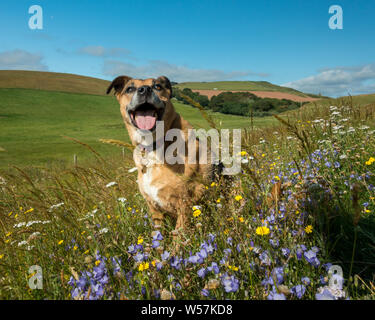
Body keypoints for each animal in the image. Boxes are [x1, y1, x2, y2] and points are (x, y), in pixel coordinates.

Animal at [106, 76, 220, 234]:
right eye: (130, 88)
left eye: (158, 86)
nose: (145, 90)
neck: (153, 147)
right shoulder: (154, 209)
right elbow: (158, 236)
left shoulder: (185, 204)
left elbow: (178, 237)